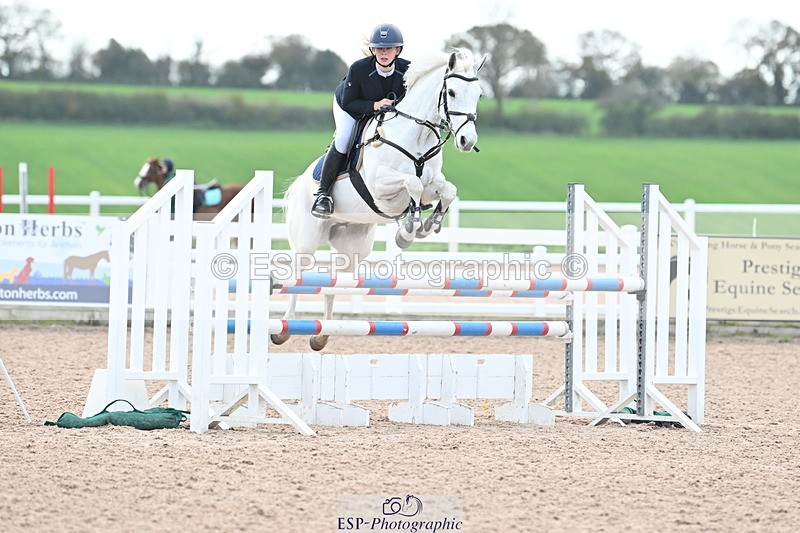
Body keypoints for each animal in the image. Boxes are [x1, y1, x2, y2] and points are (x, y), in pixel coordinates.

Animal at [273, 48, 487, 351]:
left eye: (479, 94)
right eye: (452, 92)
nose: (468, 140)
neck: (416, 135)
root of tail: (299, 184)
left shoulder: (432, 183)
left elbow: (447, 190)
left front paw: (427, 224)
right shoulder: (380, 187)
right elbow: (412, 184)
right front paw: (407, 231)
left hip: (352, 247)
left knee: (336, 282)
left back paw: (322, 334)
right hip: (306, 241)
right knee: (297, 276)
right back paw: (285, 326)